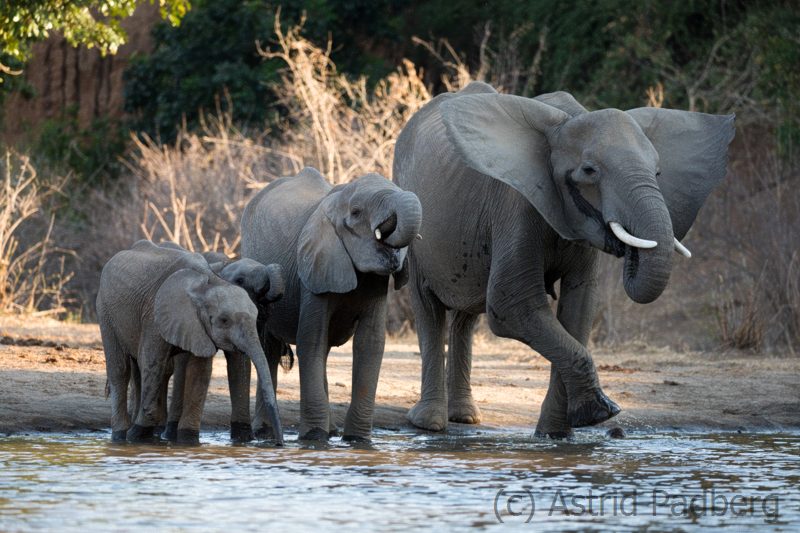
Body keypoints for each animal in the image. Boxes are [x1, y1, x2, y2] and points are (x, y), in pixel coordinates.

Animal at [390, 82, 736, 436]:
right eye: (589, 171)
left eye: (658, 172)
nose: (630, 249)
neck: (567, 121)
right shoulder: (517, 206)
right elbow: (512, 306)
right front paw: (600, 413)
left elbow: (577, 310)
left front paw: (556, 434)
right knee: (429, 306)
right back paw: (430, 423)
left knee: (466, 314)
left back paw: (464, 417)